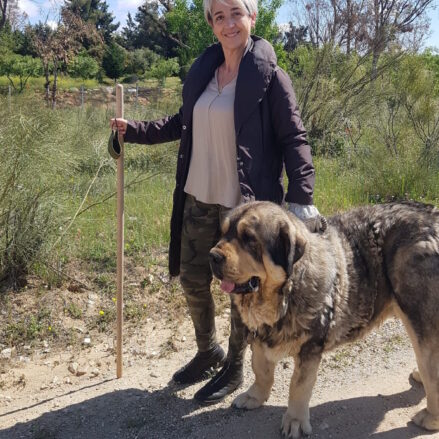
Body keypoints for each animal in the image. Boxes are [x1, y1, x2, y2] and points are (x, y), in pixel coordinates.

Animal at [209, 202, 439, 436]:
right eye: (223, 232)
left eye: (248, 238)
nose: (213, 256)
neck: (285, 293)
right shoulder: (259, 335)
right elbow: (261, 370)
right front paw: (254, 396)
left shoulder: (310, 348)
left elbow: (298, 387)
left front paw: (294, 420)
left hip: (420, 320)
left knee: (431, 369)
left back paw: (430, 417)